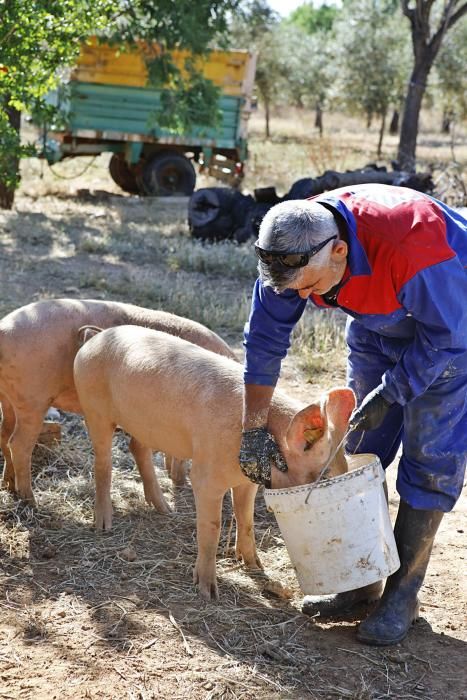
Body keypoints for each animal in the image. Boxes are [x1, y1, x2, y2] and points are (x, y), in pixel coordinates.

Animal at [0, 296, 234, 504]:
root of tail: (3, 330)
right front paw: (179, 483)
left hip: (8, 398)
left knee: (4, 434)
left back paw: (9, 486)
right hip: (32, 399)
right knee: (18, 444)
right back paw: (31, 500)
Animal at [75, 326, 356, 600]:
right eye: (325, 475)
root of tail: (95, 338)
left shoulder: (248, 479)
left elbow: (246, 520)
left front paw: (257, 568)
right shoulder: (206, 477)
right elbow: (212, 527)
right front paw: (208, 593)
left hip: (142, 425)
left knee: (138, 448)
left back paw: (165, 510)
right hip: (95, 410)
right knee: (103, 462)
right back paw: (103, 526)